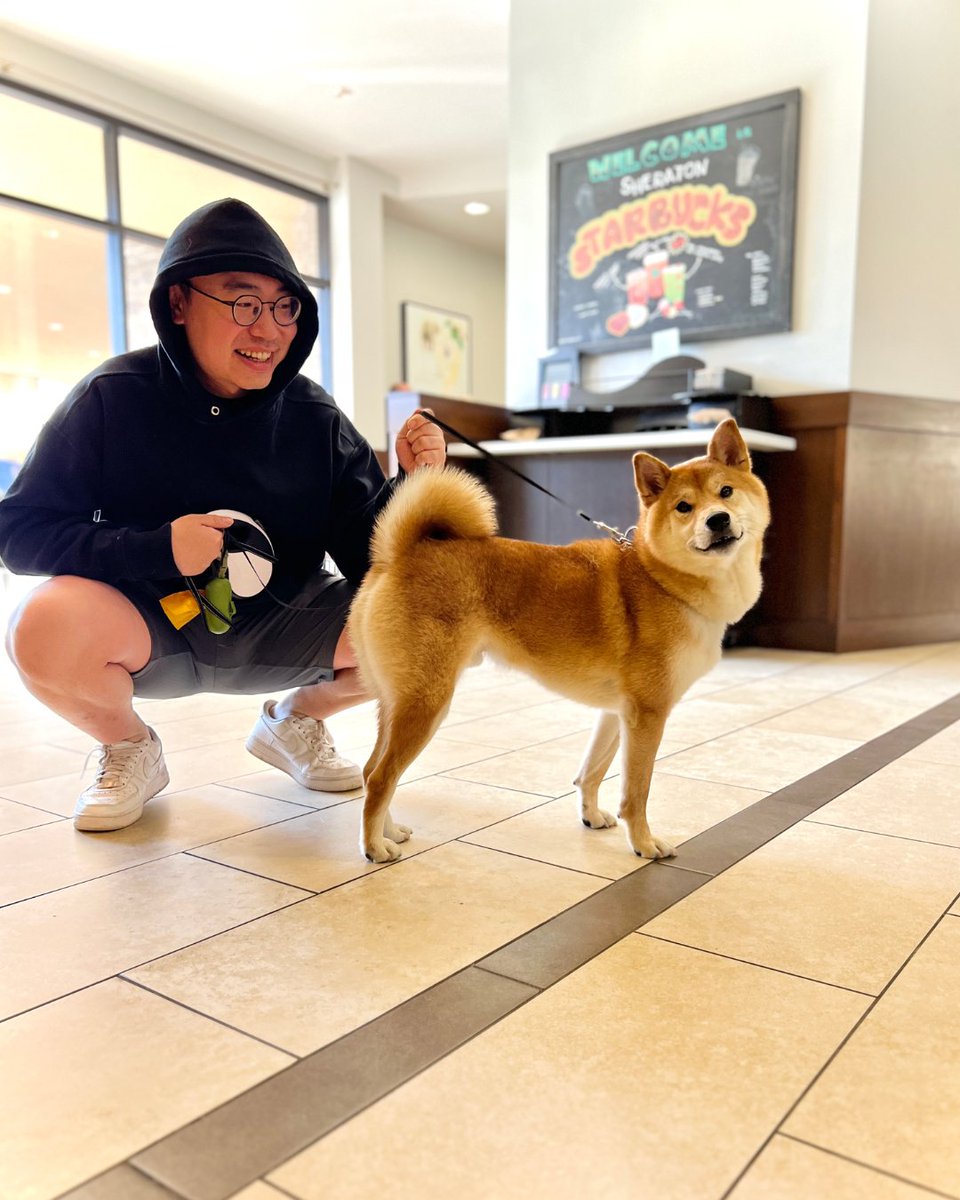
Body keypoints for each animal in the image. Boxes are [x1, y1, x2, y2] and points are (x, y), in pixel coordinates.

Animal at [348, 420, 768, 864]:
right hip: (426, 703)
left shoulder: (618, 712)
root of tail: (400, 554)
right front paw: (644, 843)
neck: (661, 578)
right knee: (381, 778)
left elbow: (592, 772)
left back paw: (390, 831)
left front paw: (591, 816)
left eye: (726, 491)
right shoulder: (648, 715)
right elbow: (636, 792)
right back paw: (374, 847)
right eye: (684, 507)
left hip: (396, 702)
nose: (717, 520)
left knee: (372, 771)